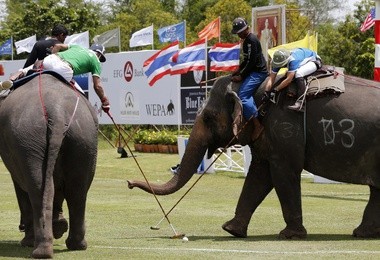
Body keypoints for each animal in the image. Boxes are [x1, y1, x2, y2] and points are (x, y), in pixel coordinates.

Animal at [0, 74, 99, 258]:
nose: (20, 226)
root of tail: (57, 113)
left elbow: (20, 186)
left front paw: (27, 241)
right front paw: (59, 225)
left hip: (28, 137)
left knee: (36, 188)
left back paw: (38, 249)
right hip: (83, 138)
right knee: (77, 189)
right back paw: (75, 245)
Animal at [128, 70, 380, 240]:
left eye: (208, 117)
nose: (129, 183)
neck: (263, 85)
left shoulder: (284, 128)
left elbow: (283, 174)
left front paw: (289, 235)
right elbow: (259, 175)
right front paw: (231, 230)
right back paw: (362, 233)